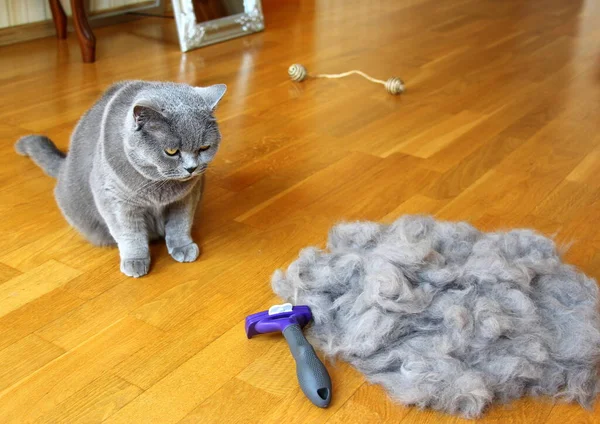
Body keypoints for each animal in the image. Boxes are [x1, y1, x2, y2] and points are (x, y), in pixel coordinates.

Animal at [17, 79, 227, 278]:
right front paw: (135, 261)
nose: (191, 168)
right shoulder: (116, 200)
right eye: (171, 151)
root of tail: (64, 165)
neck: (158, 185)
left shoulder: (186, 197)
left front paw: (183, 247)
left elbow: (180, 223)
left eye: (204, 148)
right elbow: (130, 233)